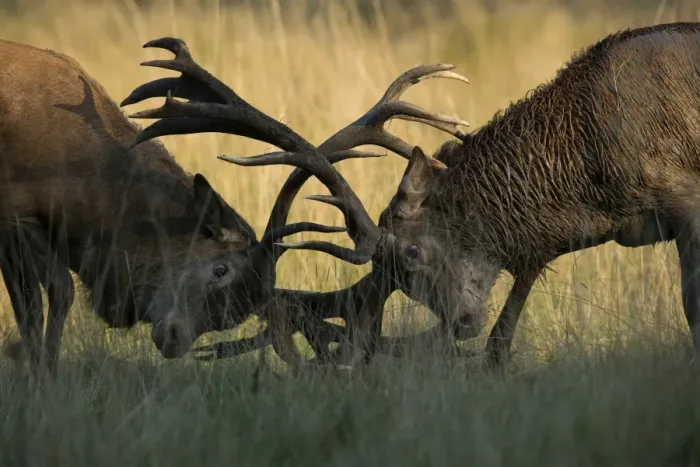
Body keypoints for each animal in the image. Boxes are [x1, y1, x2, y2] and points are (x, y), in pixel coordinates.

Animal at [0, 37, 363, 375]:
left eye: (234, 315)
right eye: (220, 269)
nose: (175, 339)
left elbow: (26, 306)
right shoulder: (16, 211)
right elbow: (55, 294)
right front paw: (46, 375)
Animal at [174, 22, 700, 370]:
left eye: (411, 252)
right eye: (405, 286)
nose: (461, 322)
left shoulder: (684, 197)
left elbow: (691, 308)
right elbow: (504, 329)